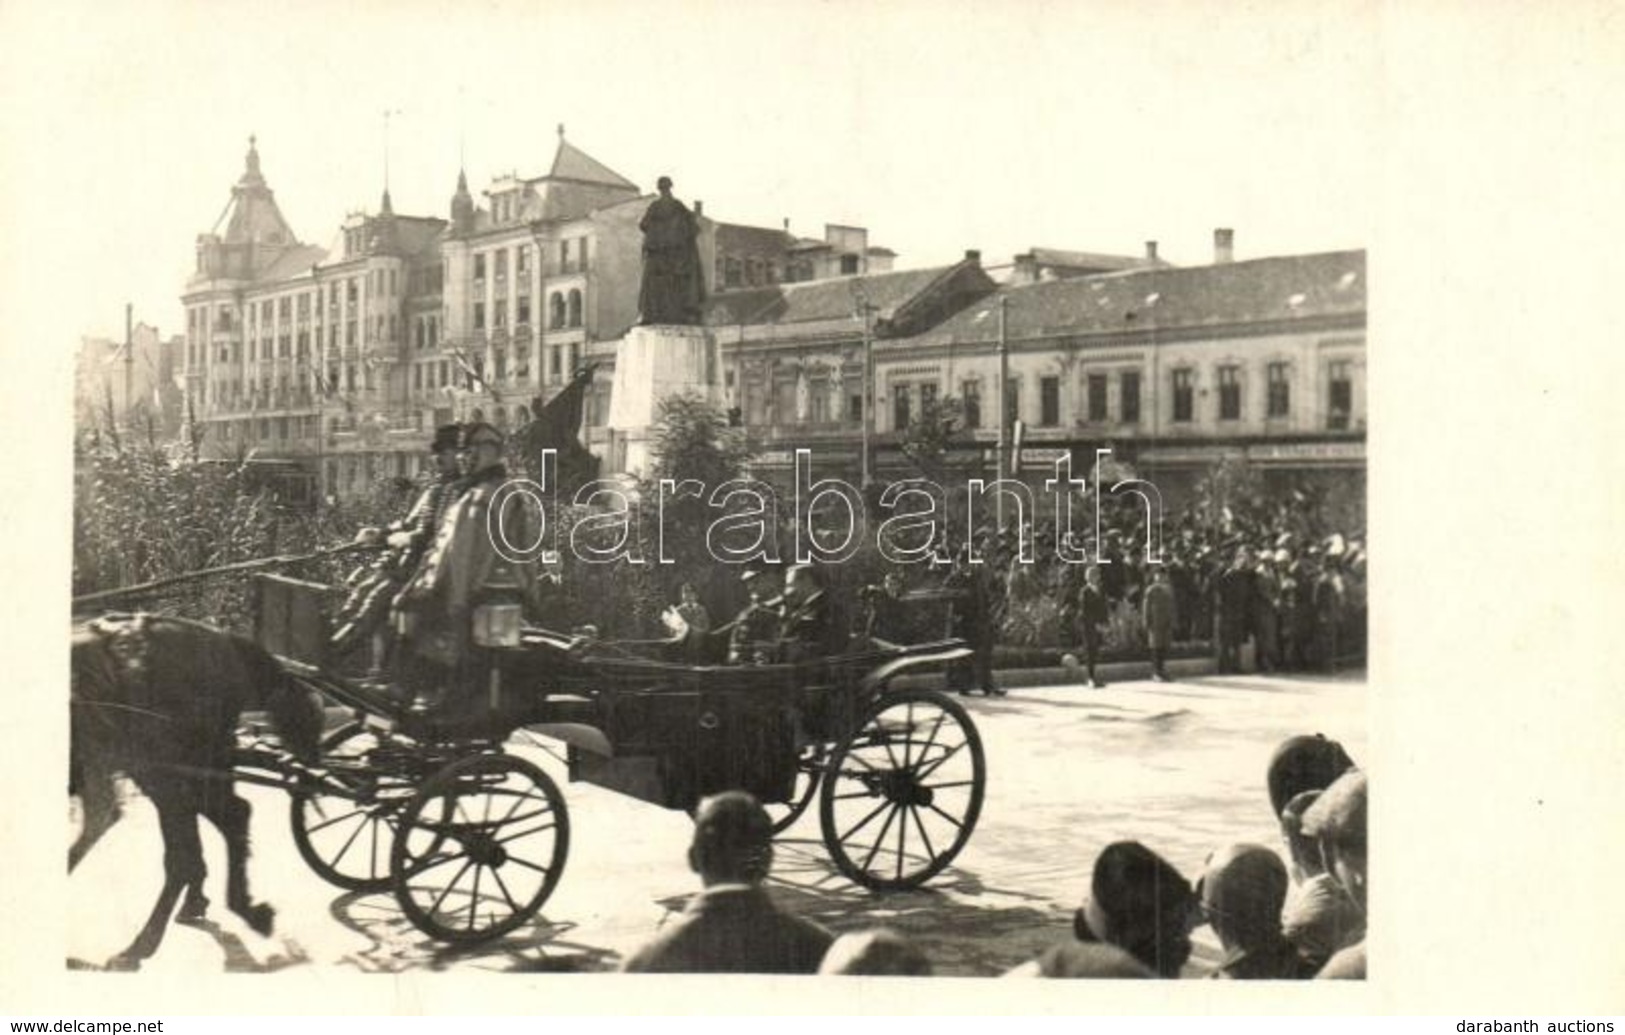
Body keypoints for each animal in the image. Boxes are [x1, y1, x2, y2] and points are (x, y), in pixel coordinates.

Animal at [69, 610, 323, 961]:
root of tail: (222, 639)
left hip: (166, 772)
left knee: (184, 851)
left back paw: (142, 945)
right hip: (192, 769)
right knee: (228, 819)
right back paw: (222, 908)